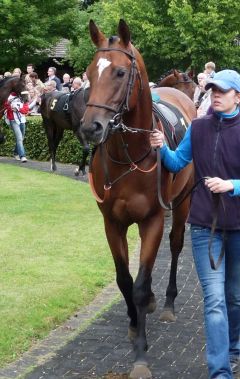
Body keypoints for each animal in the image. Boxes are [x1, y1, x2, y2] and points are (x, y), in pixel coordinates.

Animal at [79, 20, 196, 379]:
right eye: (88, 73)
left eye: (119, 72)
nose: (90, 128)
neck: (129, 156)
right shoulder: (112, 222)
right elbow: (124, 279)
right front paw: (133, 323)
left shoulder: (153, 219)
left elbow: (142, 284)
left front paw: (141, 354)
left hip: (183, 202)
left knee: (175, 245)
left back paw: (168, 302)